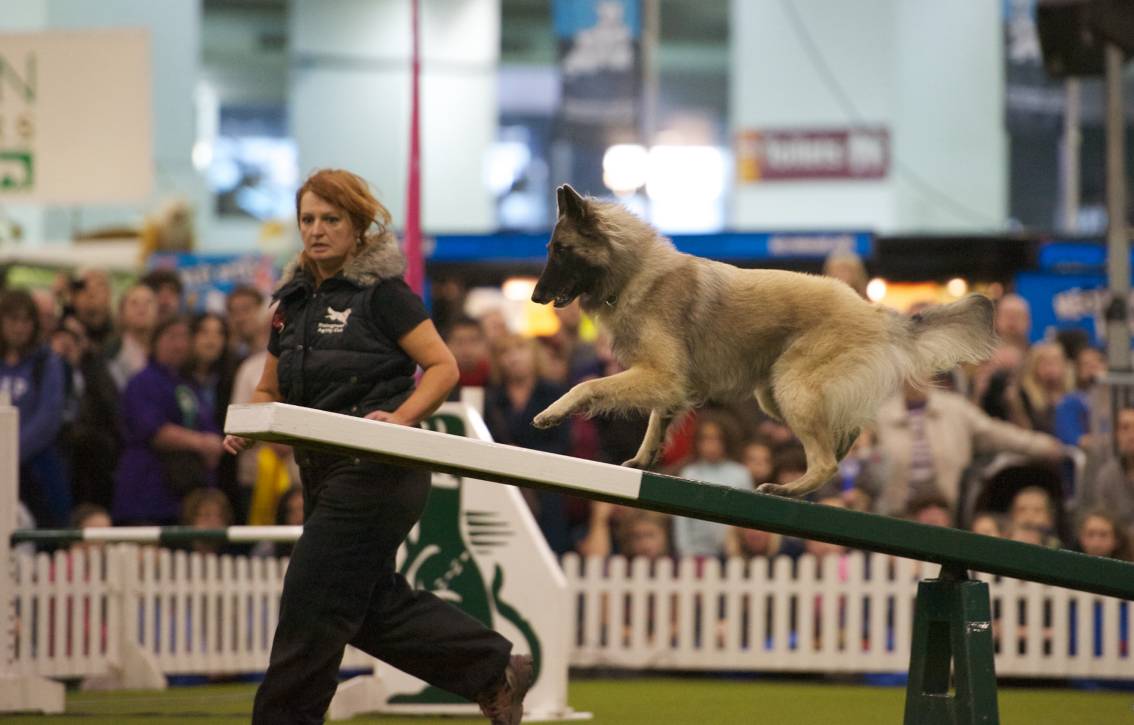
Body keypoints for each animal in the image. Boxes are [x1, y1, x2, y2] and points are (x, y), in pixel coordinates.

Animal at [529, 184, 997, 498]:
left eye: (560, 249)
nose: (534, 297)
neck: (634, 271)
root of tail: (874, 312)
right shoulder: (670, 383)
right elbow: (656, 422)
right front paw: (644, 460)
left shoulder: (659, 374)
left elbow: (590, 385)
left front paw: (553, 412)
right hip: (775, 395)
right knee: (846, 435)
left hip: (792, 388)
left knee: (826, 461)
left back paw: (788, 488)